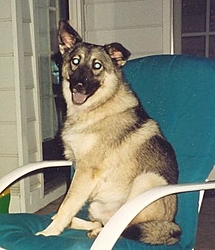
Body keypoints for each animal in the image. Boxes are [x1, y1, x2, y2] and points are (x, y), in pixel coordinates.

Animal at [36, 20, 181, 245]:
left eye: (97, 66)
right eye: (75, 62)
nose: (79, 86)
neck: (99, 106)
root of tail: (171, 224)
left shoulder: (86, 171)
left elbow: (67, 204)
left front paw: (50, 232)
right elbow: (68, 206)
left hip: (147, 180)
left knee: (125, 227)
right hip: (98, 205)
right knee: (101, 222)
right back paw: (85, 226)